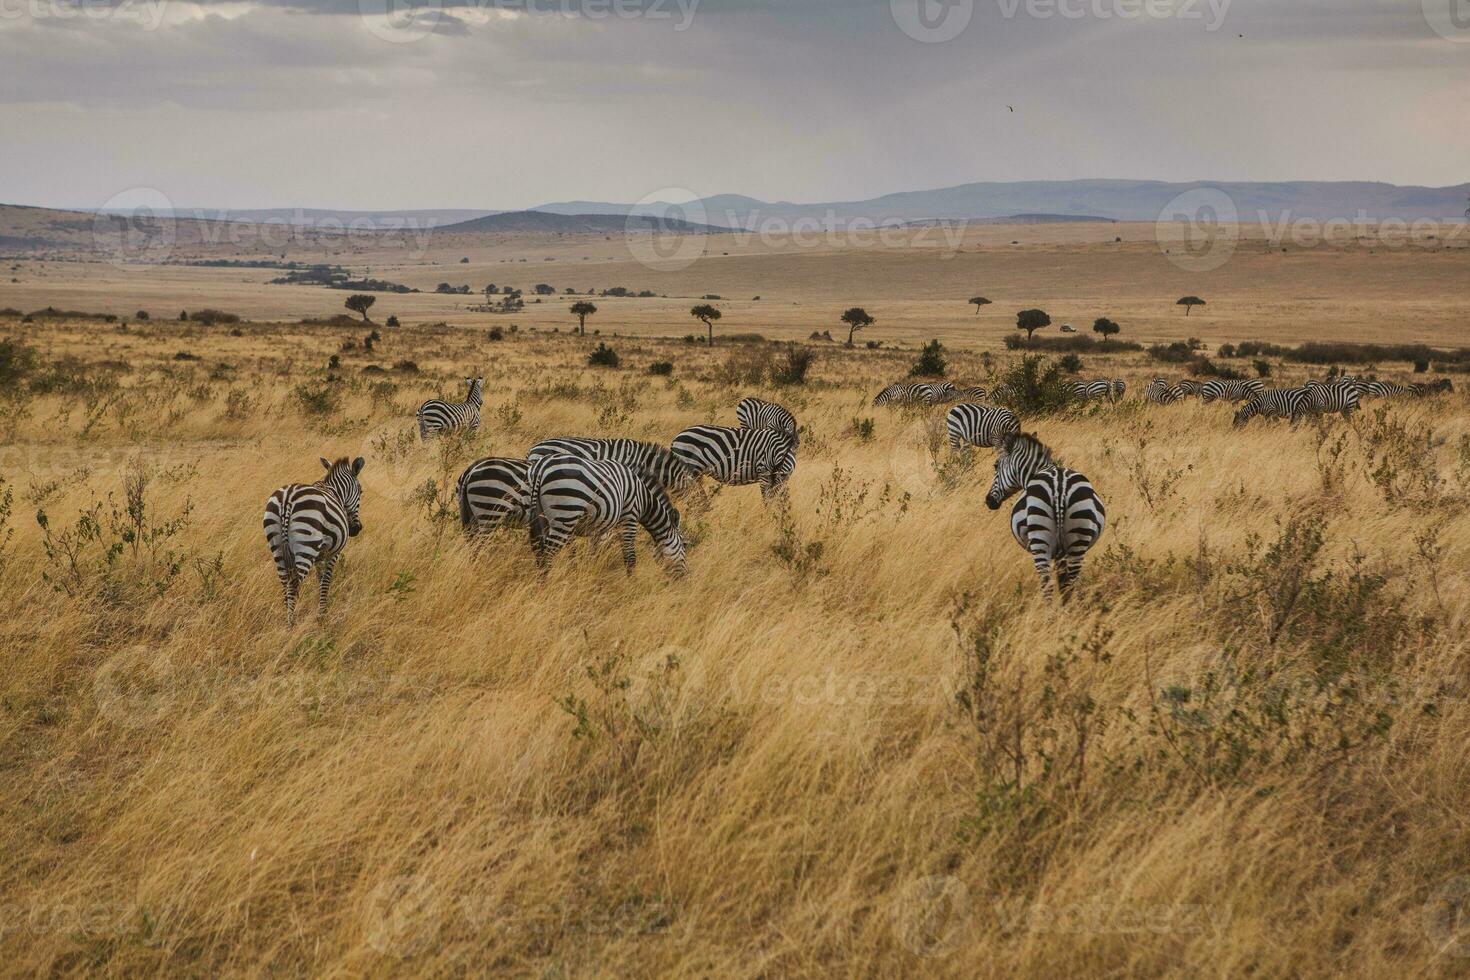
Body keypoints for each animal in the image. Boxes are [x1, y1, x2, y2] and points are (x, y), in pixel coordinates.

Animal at [261, 455, 361, 625]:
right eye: (361, 491)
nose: (356, 529)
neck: (336, 492)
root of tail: (287, 499)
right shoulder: (331, 553)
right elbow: (326, 581)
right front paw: (322, 615)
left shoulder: (320, 555)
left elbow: (319, 579)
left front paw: (319, 608)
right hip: (306, 545)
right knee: (293, 585)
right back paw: (291, 625)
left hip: (277, 546)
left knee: (284, 583)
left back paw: (287, 619)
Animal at [529, 455, 687, 578]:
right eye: (685, 544)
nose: (686, 577)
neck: (644, 498)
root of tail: (541, 467)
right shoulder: (629, 518)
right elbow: (630, 557)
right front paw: (633, 586)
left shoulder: (599, 528)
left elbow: (594, 553)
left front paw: (592, 575)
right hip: (565, 515)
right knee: (547, 556)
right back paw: (545, 588)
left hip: (541, 517)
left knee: (539, 554)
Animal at [987, 434, 1105, 599]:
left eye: (996, 466)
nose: (988, 501)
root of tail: (1059, 488)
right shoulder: (1062, 553)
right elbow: (1063, 583)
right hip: (1079, 538)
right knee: (1072, 582)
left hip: (1039, 542)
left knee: (1047, 586)